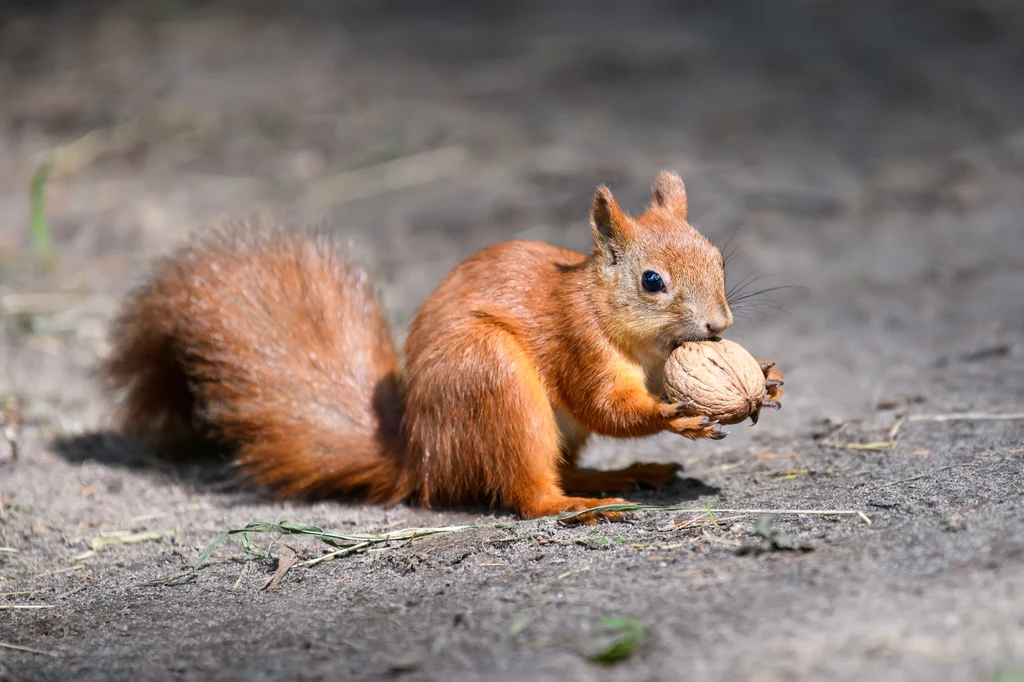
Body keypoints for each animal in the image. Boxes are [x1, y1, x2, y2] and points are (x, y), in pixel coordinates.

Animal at [103, 171, 782, 520]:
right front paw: (675, 416)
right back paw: (578, 504)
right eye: (651, 282)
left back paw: (625, 475)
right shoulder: (578, 342)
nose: (719, 325)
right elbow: (606, 407)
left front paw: (766, 377)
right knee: (526, 491)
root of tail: (423, 458)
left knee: (558, 466)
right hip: (493, 379)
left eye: (719, 258)